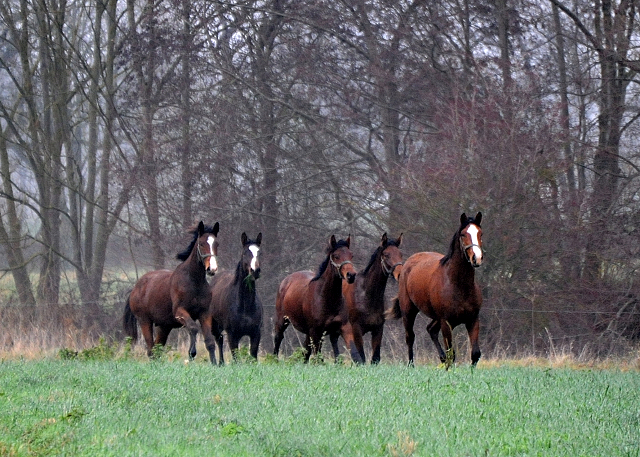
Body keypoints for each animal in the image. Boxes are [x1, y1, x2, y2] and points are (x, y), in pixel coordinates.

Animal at [122, 219, 220, 362]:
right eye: (201, 244)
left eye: (216, 244)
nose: (212, 269)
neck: (193, 282)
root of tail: (135, 289)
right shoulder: (180, 312)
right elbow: (193, 328)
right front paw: (191, 353)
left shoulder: (204, 314)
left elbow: (210, 342)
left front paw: (214, 363)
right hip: (144, 321)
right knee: (151, 349)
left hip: (164, 326)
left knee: (156, 350)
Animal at [209, 232, 262, 364]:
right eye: (245, 253)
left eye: (259, 252)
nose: (255, 271)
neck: (245, 306)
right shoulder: (232, 334)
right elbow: (236, 358)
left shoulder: (256, 333)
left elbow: (253, 356)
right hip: (214, 325)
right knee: (219, 340)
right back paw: (220, 363)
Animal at [272, 235, 362, 364]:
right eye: (336, 256)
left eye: (351, 255)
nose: (351, 275)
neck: (328, 299)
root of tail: (286, 280)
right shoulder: (315, 331)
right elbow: (319, 358)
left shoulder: (343, 327)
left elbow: (355, 354)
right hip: (282, 321)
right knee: (278, 338)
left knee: (306, 350)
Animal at [342, 232, 402, 364]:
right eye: (386, 254)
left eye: (400, 254)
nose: (400, 274)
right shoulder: (356, 330)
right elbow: (362, 358)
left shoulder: (378, 329)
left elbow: (375, 358)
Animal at [384, 212, 484, 366]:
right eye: (463, 234)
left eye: (480, 233)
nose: (476, 258)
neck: (459, 286)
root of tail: (406, 265)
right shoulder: (446, 322)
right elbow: (451, 355)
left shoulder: (472, 320)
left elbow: (475, 354)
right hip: (408, 311)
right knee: (410, 337)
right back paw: (411, 365)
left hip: (436, 318)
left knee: (431, 330)